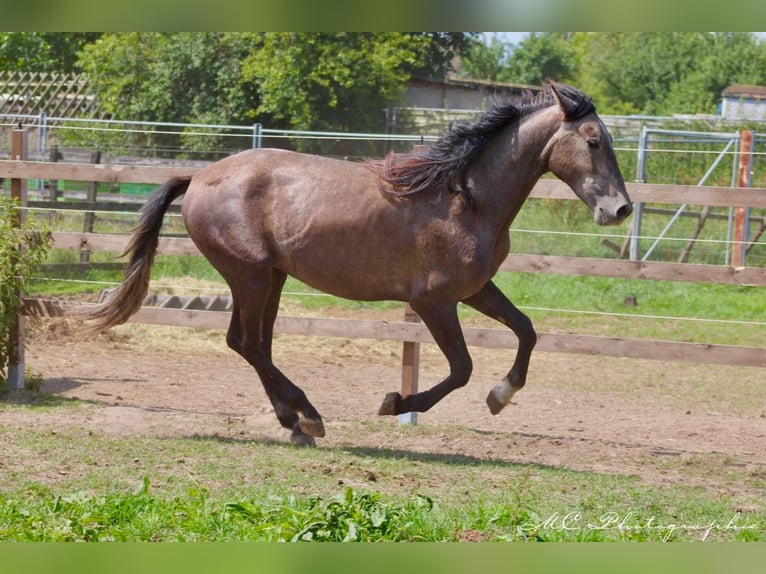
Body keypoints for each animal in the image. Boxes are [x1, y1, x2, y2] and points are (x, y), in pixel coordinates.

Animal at [87, 83, 632, 448]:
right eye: (592, 141)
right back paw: (308, 416)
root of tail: (197, 177)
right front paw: (396, 403)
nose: (620, 209)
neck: (465, 197)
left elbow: (526, 330)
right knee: (247, 343)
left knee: (255, 344)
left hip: (272, 277)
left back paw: (297, 423)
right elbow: (461, 368)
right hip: (251, 274)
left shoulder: (476, 289)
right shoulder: (433, 302)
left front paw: (501, 395)